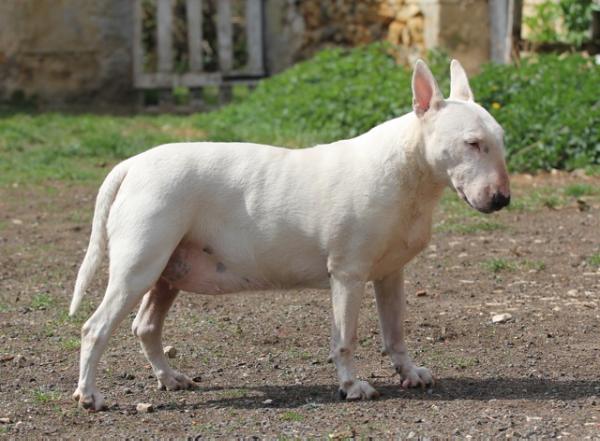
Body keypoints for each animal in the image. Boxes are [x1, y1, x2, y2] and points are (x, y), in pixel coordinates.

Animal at [70, 58, 510, 410]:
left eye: (501, 140)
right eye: (472, 144)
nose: (502, 199)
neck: (408, 167)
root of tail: (132, 164)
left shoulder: (390, 275)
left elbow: (394, 330)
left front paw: (409, 373)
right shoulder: (347, 275)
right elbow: (345, 337)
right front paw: (351, 386)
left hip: (168, 271)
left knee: (146, 326)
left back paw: (170, 378)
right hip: (138, 268)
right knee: (95, 327)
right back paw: (90, 396)